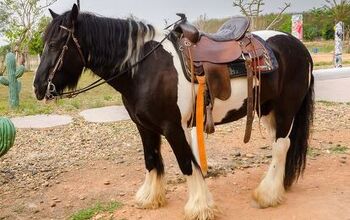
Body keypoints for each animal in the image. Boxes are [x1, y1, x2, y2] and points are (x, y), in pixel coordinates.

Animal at [33, 4, 314, 219]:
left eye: (57, 44)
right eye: (44, 44)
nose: (38, 87)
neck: (145, 68)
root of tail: (298, 46)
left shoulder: (173, 127)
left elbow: (186, 164)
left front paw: (200, 206)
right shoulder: (144, 126)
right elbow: (151, 159)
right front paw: (150, 198)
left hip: (286, 109)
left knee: (281, 145)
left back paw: (267, 194)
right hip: (268, 111)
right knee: (280, 145)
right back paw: (279, 185)